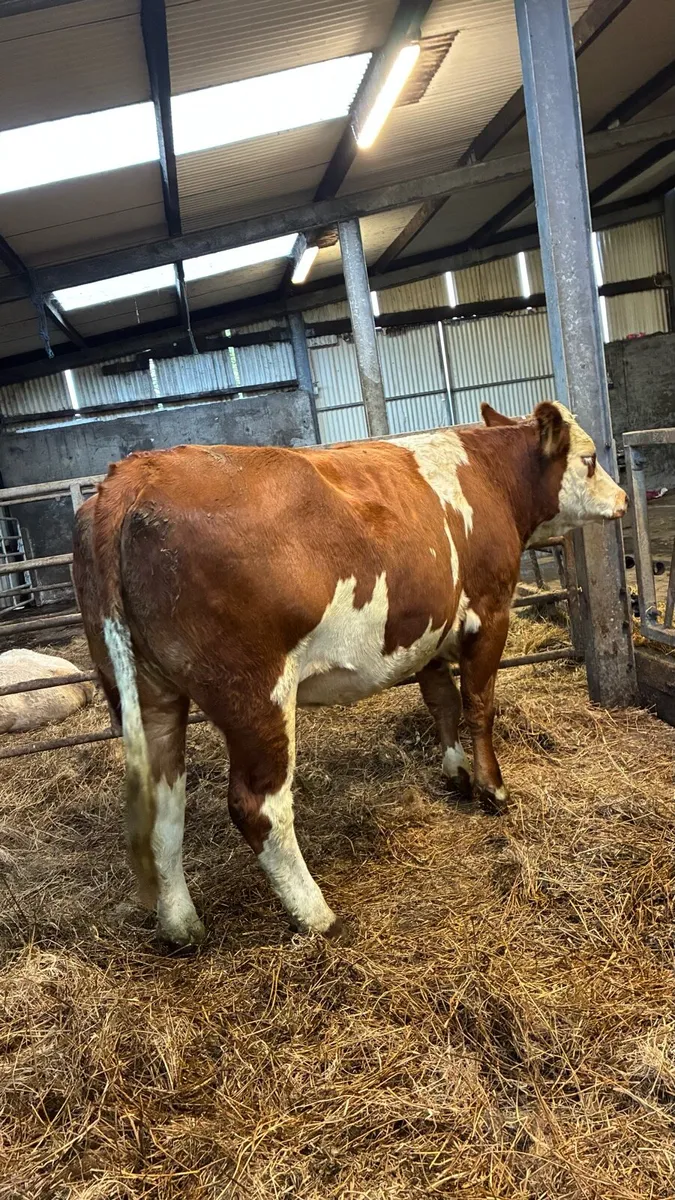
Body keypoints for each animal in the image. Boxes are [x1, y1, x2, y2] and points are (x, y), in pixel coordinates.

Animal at [72, 400, 627, 945]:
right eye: (590, 458)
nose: (622, 498)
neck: (488, 475)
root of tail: (134, 475)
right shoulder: (489, 613)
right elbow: (478, 705)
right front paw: (492, 789)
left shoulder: (428, 627)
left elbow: (442, 701)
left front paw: (456, 773)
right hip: (255, 693)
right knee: (259, 806)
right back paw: (318, 916)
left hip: (149, 697)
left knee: (165, 808)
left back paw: (181, 926)